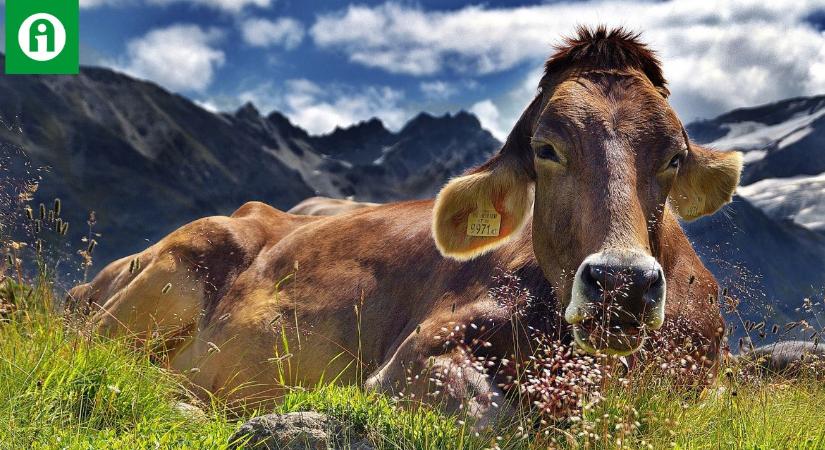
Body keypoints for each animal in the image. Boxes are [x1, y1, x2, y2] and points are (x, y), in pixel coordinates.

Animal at [67, 27, 744, 422]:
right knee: (102, 355)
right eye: (547, 148)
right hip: (173, 270)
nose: (622, 284)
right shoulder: (413, 359)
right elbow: (490, 416)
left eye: (674, 155)